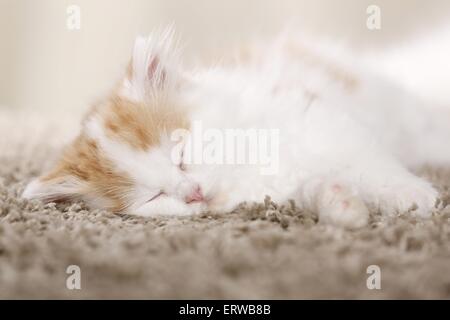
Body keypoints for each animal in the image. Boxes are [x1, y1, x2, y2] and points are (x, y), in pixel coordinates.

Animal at [24, 28, 450, 228]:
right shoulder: (292, 186)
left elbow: (371, 165)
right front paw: (343, 208)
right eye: (154, 197)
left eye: (180, 154)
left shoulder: (324, 124)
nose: (192, 192)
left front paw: (412, 196)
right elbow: (322, 187)